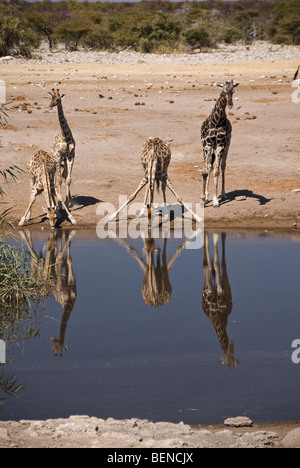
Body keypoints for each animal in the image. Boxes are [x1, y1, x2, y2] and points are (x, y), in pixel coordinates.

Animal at [200, 79, 240, 207]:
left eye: (233, 91)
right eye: (224, 91)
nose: (230, 105)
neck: (217, 120)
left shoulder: (220, 144)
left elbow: (216, 171)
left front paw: (215, 200)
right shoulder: (207, 144)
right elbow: (205, 170)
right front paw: (204, 198)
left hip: (227, 143)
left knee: (223, 165)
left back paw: (223, 194)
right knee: (209, 166)